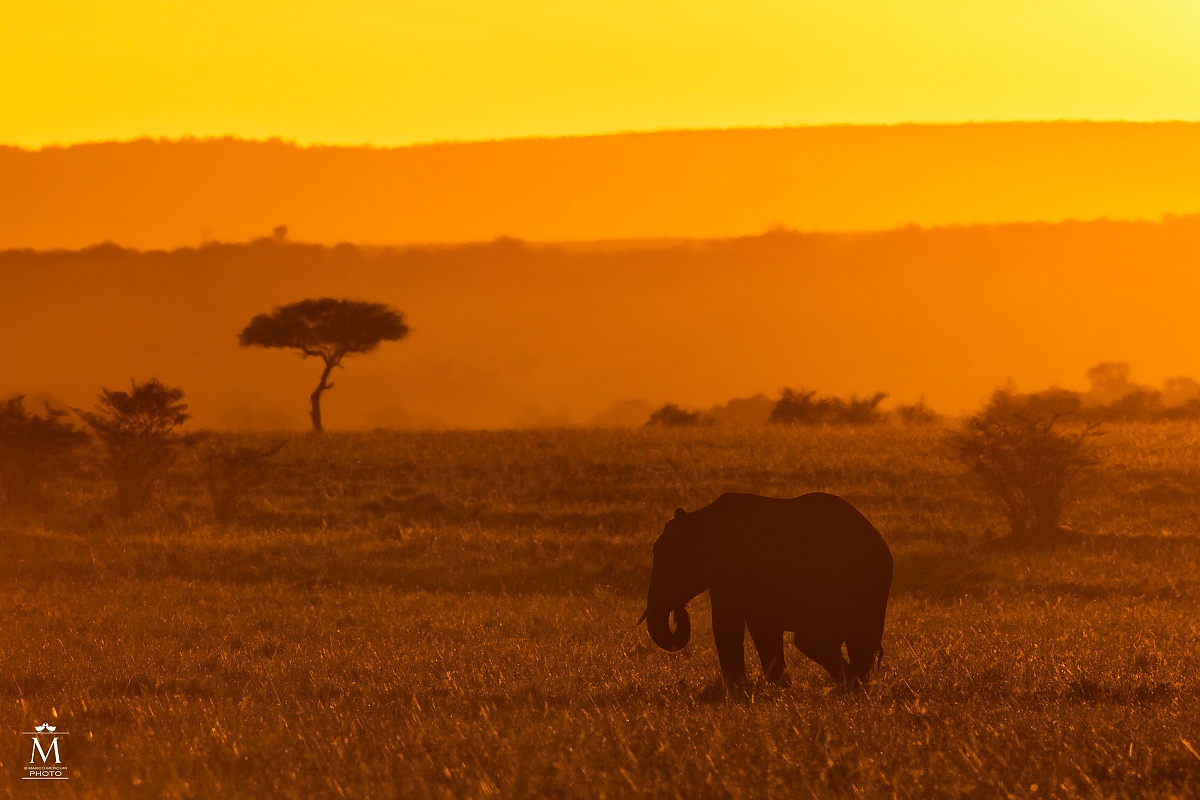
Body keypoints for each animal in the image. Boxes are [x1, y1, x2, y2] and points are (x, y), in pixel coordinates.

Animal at [639, 492, 893, 689]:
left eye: (666, 558)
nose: (678, 610)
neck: (700, 518)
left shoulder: (729, 569)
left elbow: (727, 624)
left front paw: (739, 689)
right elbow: (761, 628)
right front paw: (778, 688)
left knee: (811, 639)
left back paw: (852, 684)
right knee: (856, 642)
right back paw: (857, 685)